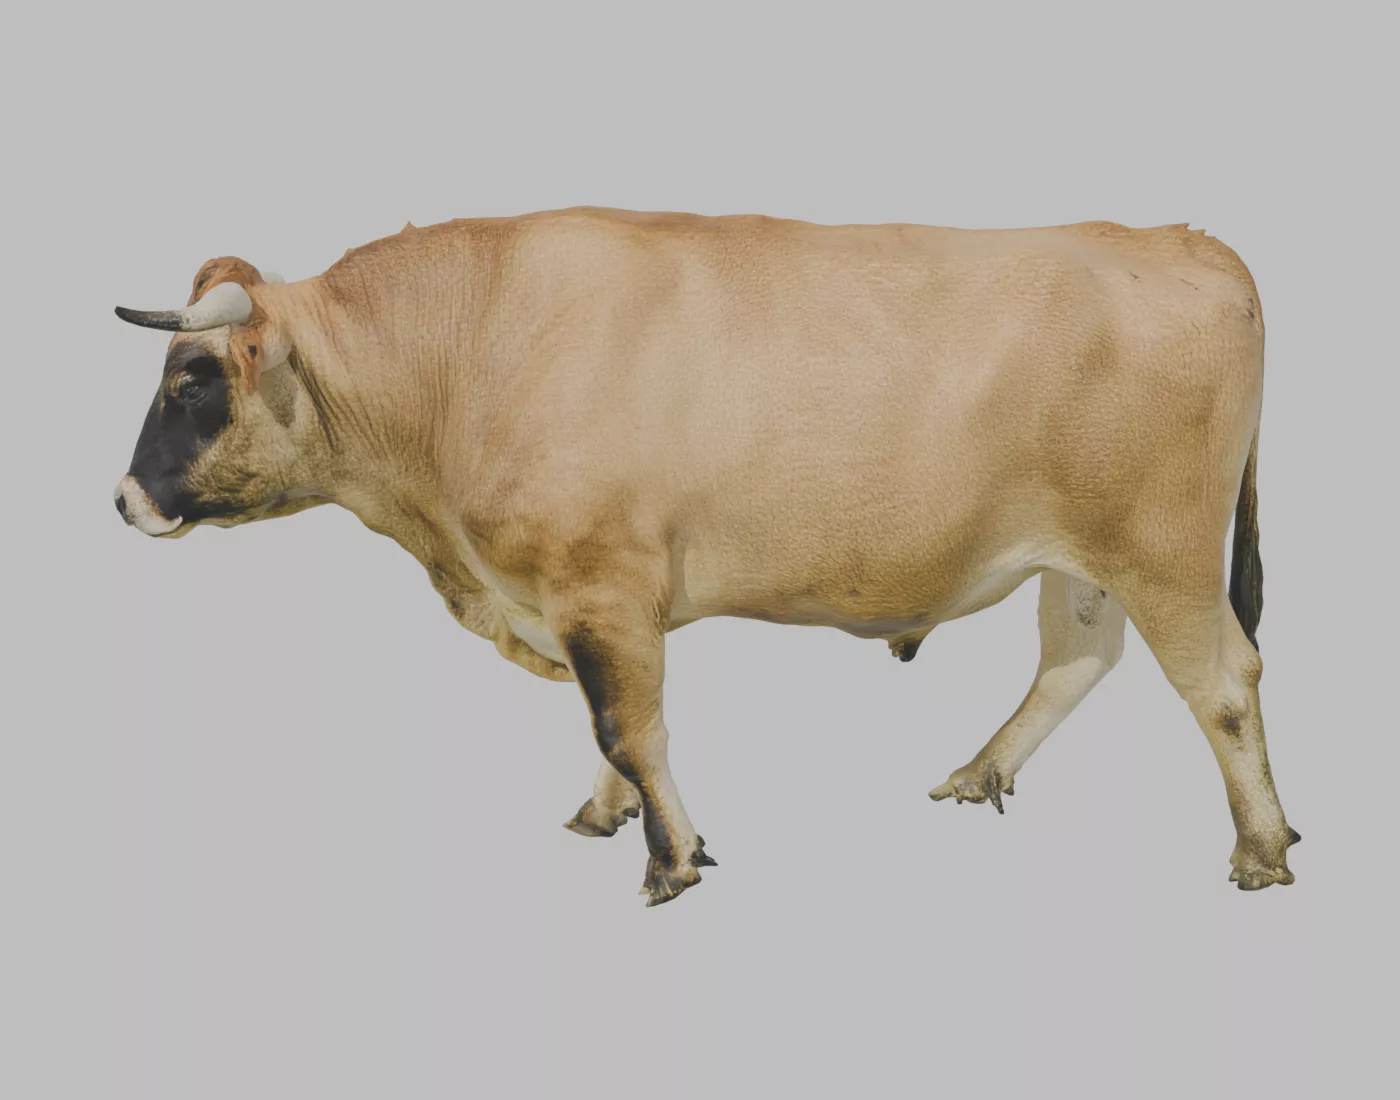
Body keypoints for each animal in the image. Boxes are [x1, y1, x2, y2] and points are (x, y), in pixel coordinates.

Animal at [113, 208, 1299, 905]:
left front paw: (670, 858)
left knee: (1222, 681)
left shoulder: (599, 580)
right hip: (1083, 556)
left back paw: (1260, 847)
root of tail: (1184, 238)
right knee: (1075, 660)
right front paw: (605, 814)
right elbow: (610, 719)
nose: (123, 500)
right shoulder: (587, 597)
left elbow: (626, 723)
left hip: (1163, 549)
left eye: (193, 380)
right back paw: (979, 772)